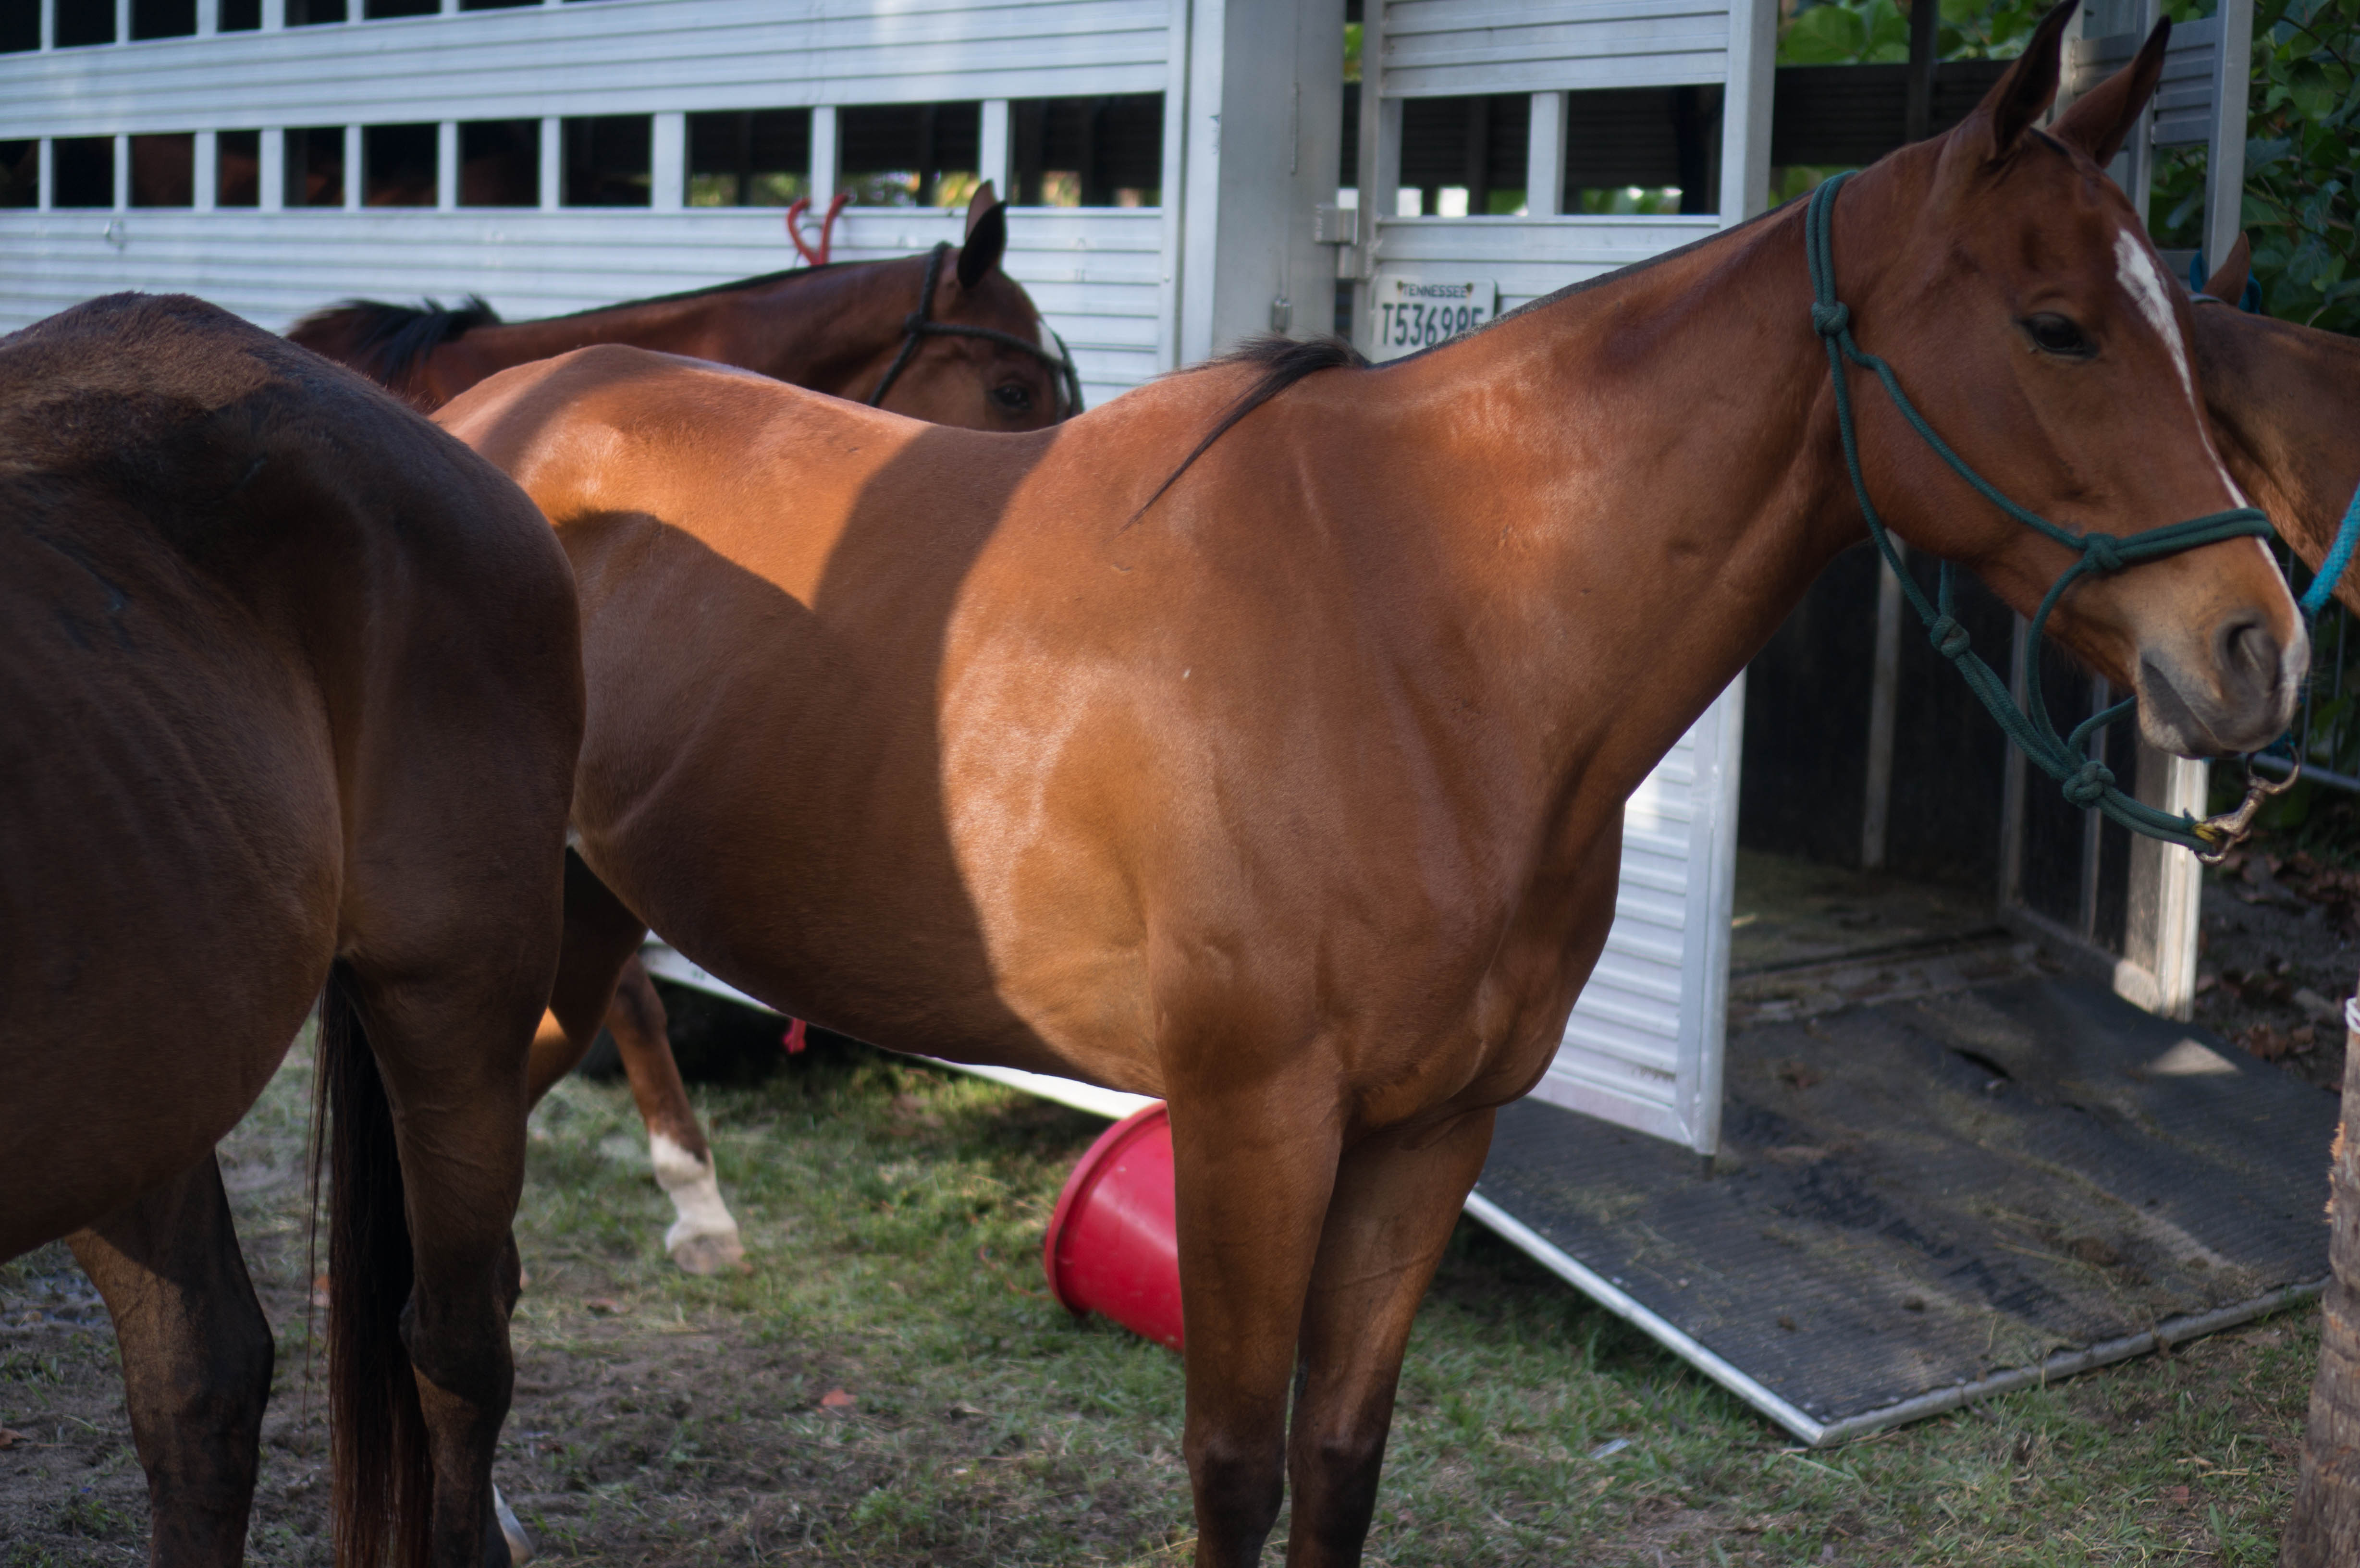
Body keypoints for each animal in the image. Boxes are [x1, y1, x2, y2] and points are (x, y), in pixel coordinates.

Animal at [434, 12, 2302, 1562]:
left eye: (2180, 324)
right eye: (2054, 327)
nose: (2259, 649)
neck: (1422, 630)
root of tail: (487, 412)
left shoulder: (1430, 1130)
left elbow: (1338, 1460)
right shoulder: (1254, 1121)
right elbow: (1234, 1468)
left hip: (573, 942)